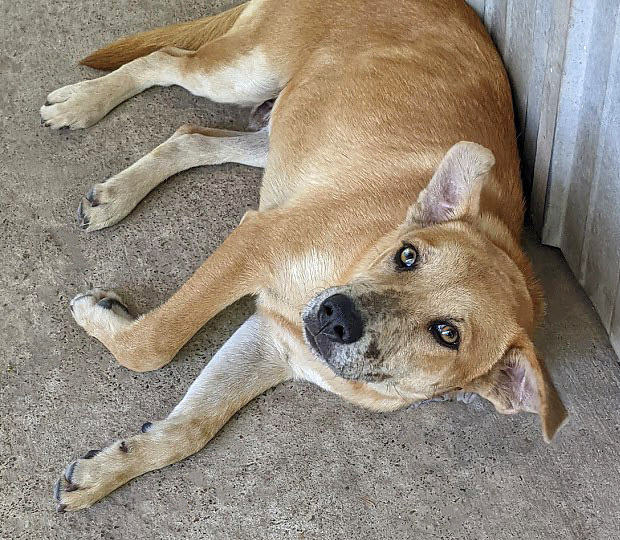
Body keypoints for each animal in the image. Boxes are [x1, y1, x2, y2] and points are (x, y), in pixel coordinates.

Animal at [41, 0, 568, 510]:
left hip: (283, 129)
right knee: (165, 60)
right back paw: (81, 102)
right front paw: (98, 317)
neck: (356, 255)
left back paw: (116, 194)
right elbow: (153, 344)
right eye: (408, 256)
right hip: (244, 72)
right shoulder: (257, 242)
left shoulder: (272, 343)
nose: (336, 316)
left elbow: (191, 428)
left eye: (447, 334)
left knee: (193, 135)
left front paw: (105, 472)